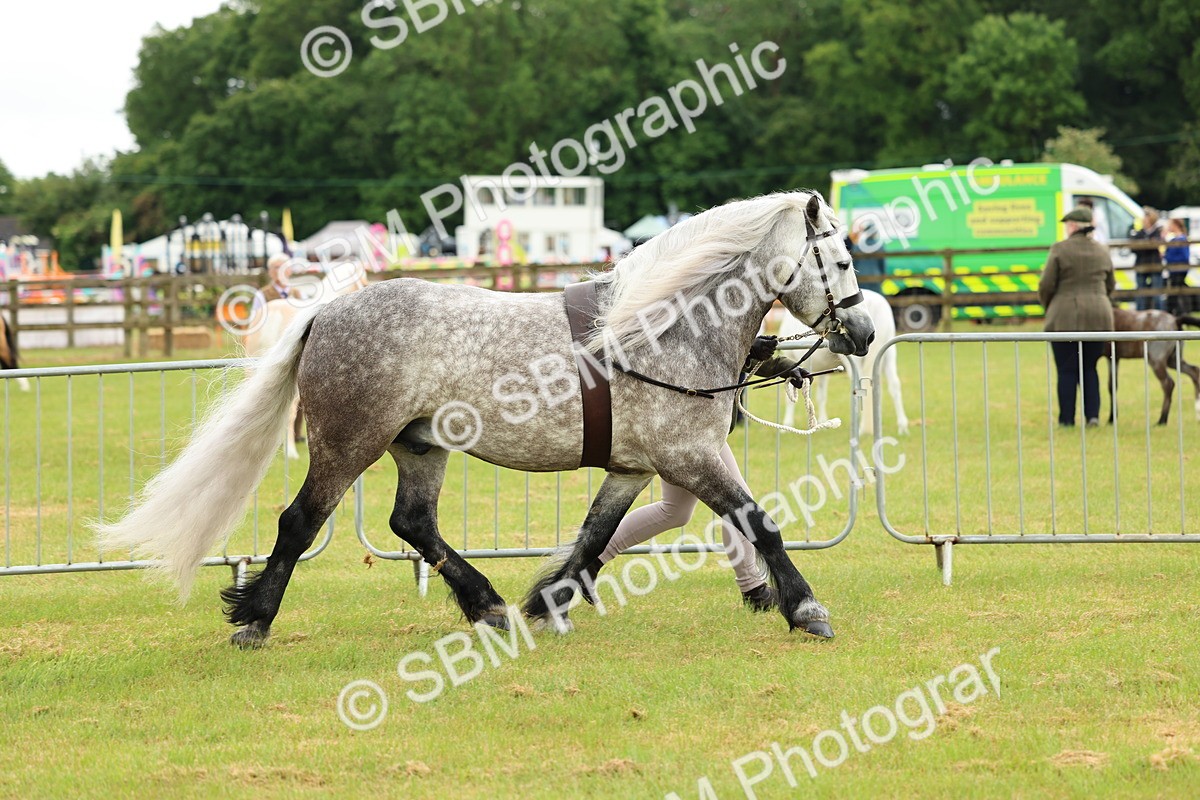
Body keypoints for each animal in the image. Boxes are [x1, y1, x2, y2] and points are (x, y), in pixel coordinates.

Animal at [777, 289, 907, 437]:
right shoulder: (822, 370)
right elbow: (822, 396)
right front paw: (823, 422)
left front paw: (786, 425)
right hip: (888, 354)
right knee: (894, 385)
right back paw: (902, 426)